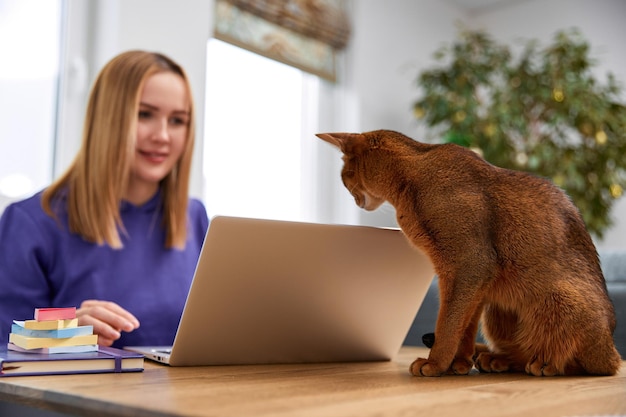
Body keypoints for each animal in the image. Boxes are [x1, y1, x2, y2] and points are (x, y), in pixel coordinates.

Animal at [316, 130, 620, 376]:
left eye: (344, 176)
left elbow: (448, 322)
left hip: (557, 299)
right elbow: (464, 323)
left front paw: (435, 363)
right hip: (498, 310)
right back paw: (497, 358)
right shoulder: (471, 281)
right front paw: (458, 363)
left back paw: (545, 363)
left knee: (585, 363)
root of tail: (609, 348)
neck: (411, 177)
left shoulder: (469, 265)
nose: (353, 198)